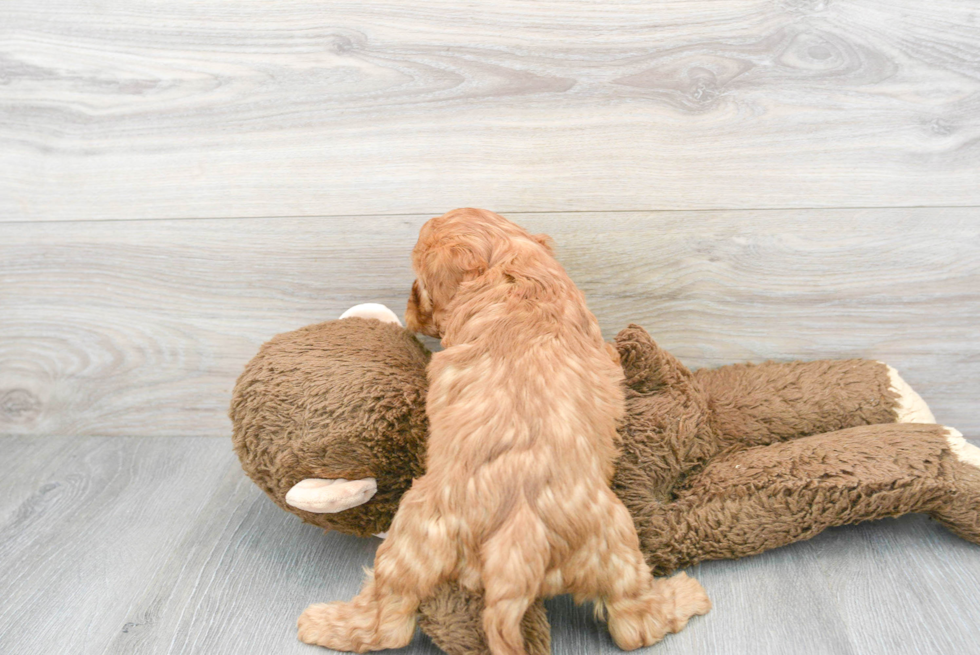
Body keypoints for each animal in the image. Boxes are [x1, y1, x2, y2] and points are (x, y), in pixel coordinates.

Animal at [298, 209, 712, 652]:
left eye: (419, 283)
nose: (409, 312)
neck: (509, 271)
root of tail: (519, 534)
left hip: (422, 542)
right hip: (612, 543)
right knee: (636, 623)